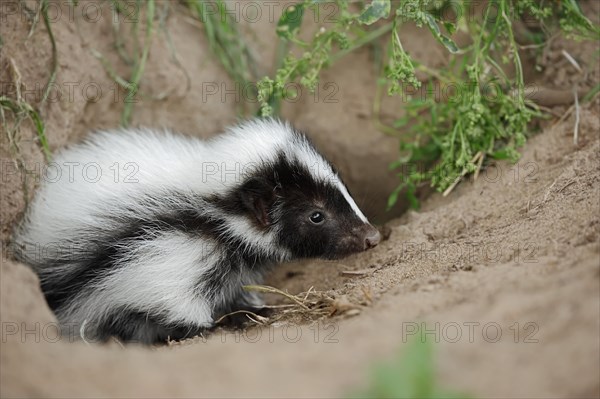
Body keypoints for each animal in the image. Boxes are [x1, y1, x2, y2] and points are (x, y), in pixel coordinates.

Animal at [12, 118, 380, 344]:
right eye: (316, 215)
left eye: (345, 190)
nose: (371, 236)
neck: (216, 205)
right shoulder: (171, 246)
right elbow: (167, 295)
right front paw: (214, 325)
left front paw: (251, 308)